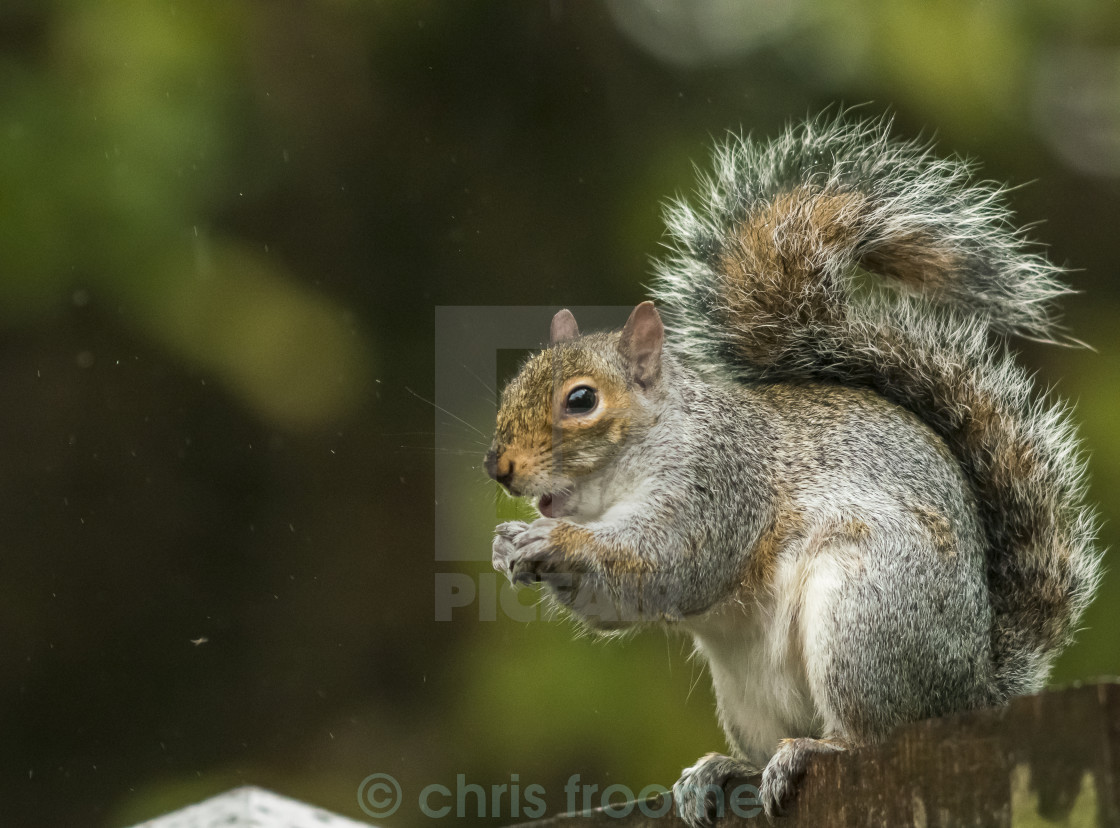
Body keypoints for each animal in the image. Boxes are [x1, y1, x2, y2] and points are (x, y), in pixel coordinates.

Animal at [483, 114, 1102, 824]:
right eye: (515, 384)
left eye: (581, 400)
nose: (497, 467)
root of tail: (972, 691)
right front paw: (509, 545)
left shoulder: (721, 481)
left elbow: (669, 561)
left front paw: (551, 540)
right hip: (748, 693)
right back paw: (721, 769)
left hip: (864, 618)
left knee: (872, 731)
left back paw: (817, 749)